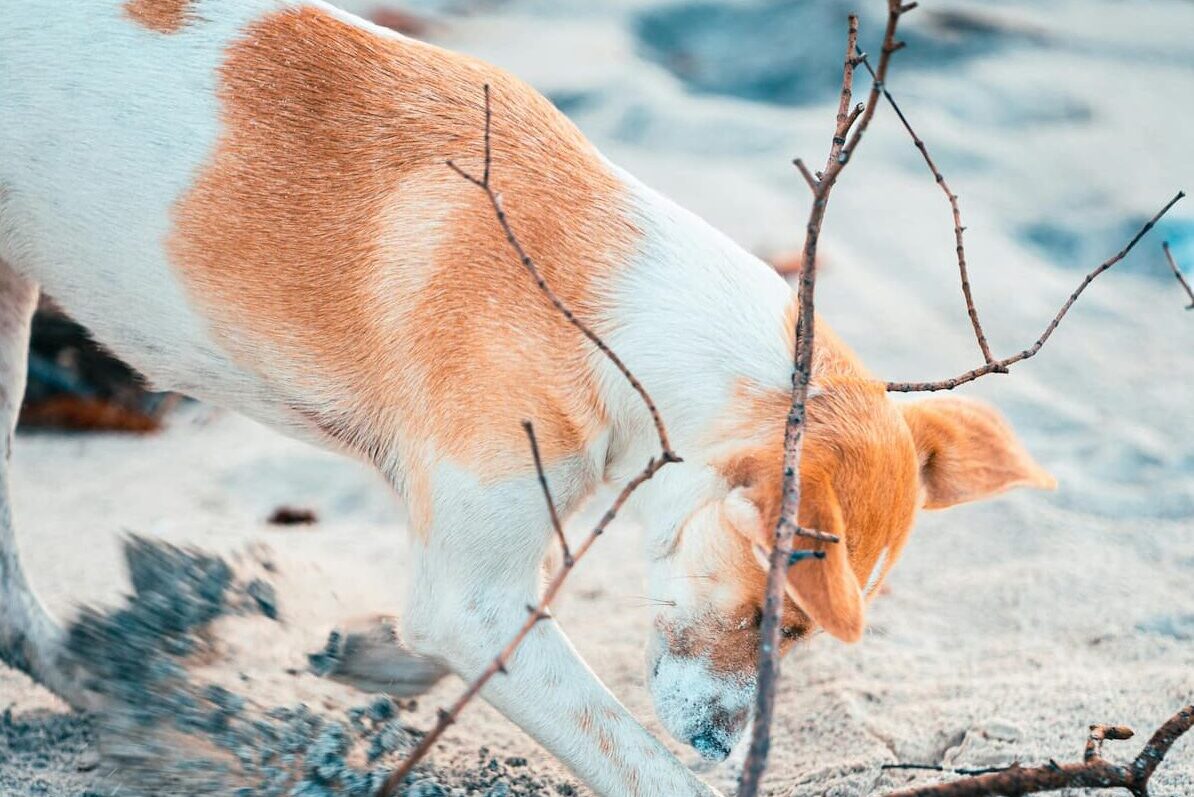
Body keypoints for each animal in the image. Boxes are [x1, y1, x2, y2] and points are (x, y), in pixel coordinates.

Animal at [0, 3, 1055, 792]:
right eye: (781, 622)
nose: (723, 745)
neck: (611, 306)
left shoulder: (480, 578)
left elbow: (441, 636)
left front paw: (369, 655)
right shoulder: (470, 599)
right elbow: (634, 760)